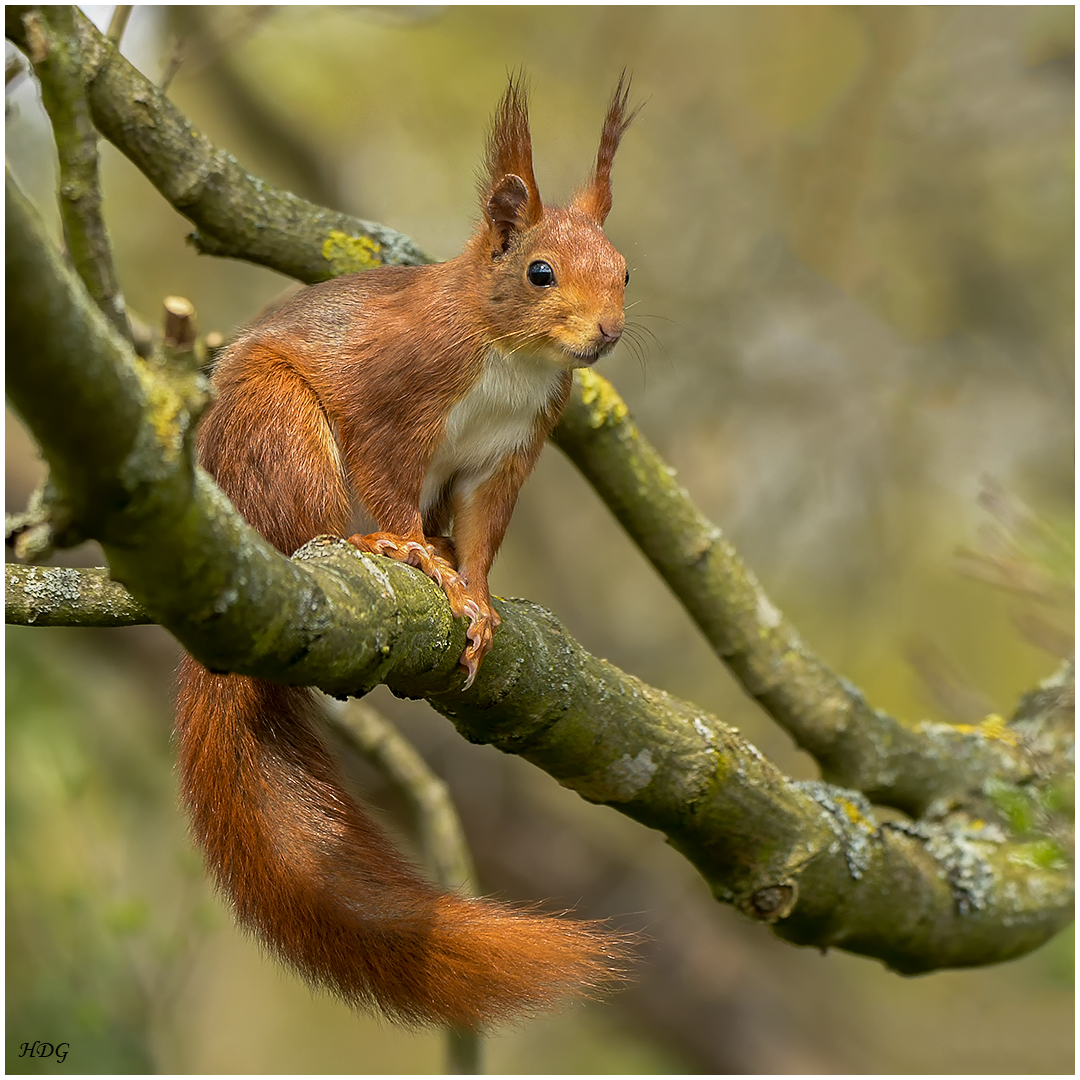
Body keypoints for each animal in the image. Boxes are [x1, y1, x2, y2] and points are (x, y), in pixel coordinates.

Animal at [172, 78, 635, 1028]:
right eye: (539, 272)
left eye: (627, 270)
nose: (607, 333)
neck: (510, 358)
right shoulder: (394, 399)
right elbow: (387, 474)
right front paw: (421, 560)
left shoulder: (508, 455)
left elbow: (485, 533)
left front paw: (481, 598)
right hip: (279, 428)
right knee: (313, 523)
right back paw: (367, 545)